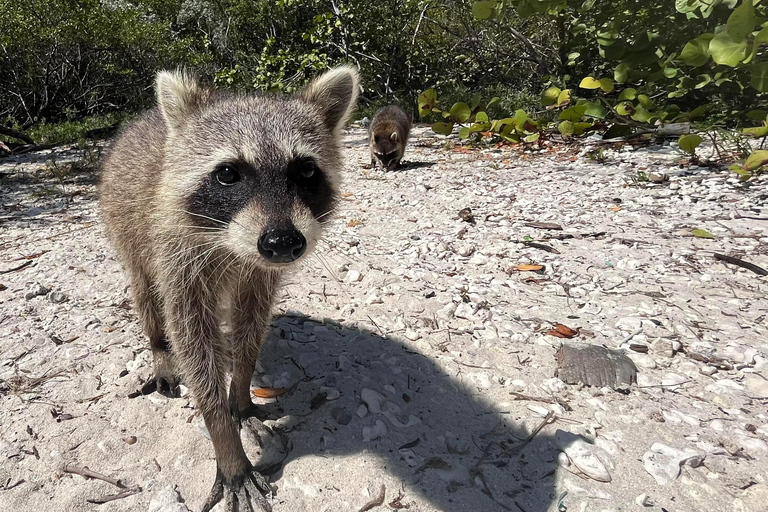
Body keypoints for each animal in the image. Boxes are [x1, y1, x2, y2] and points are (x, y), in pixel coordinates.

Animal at [99, 66, 359, 512]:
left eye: (306, 170)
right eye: (227, 174)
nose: (282, 242)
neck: (230, 244)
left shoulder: (260, 273)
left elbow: (251, 325)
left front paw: (239, 392)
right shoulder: (178, 258)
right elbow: (192, 342)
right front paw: (225, 439)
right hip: (127, 229)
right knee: (147, 296)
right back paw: (159, 349)